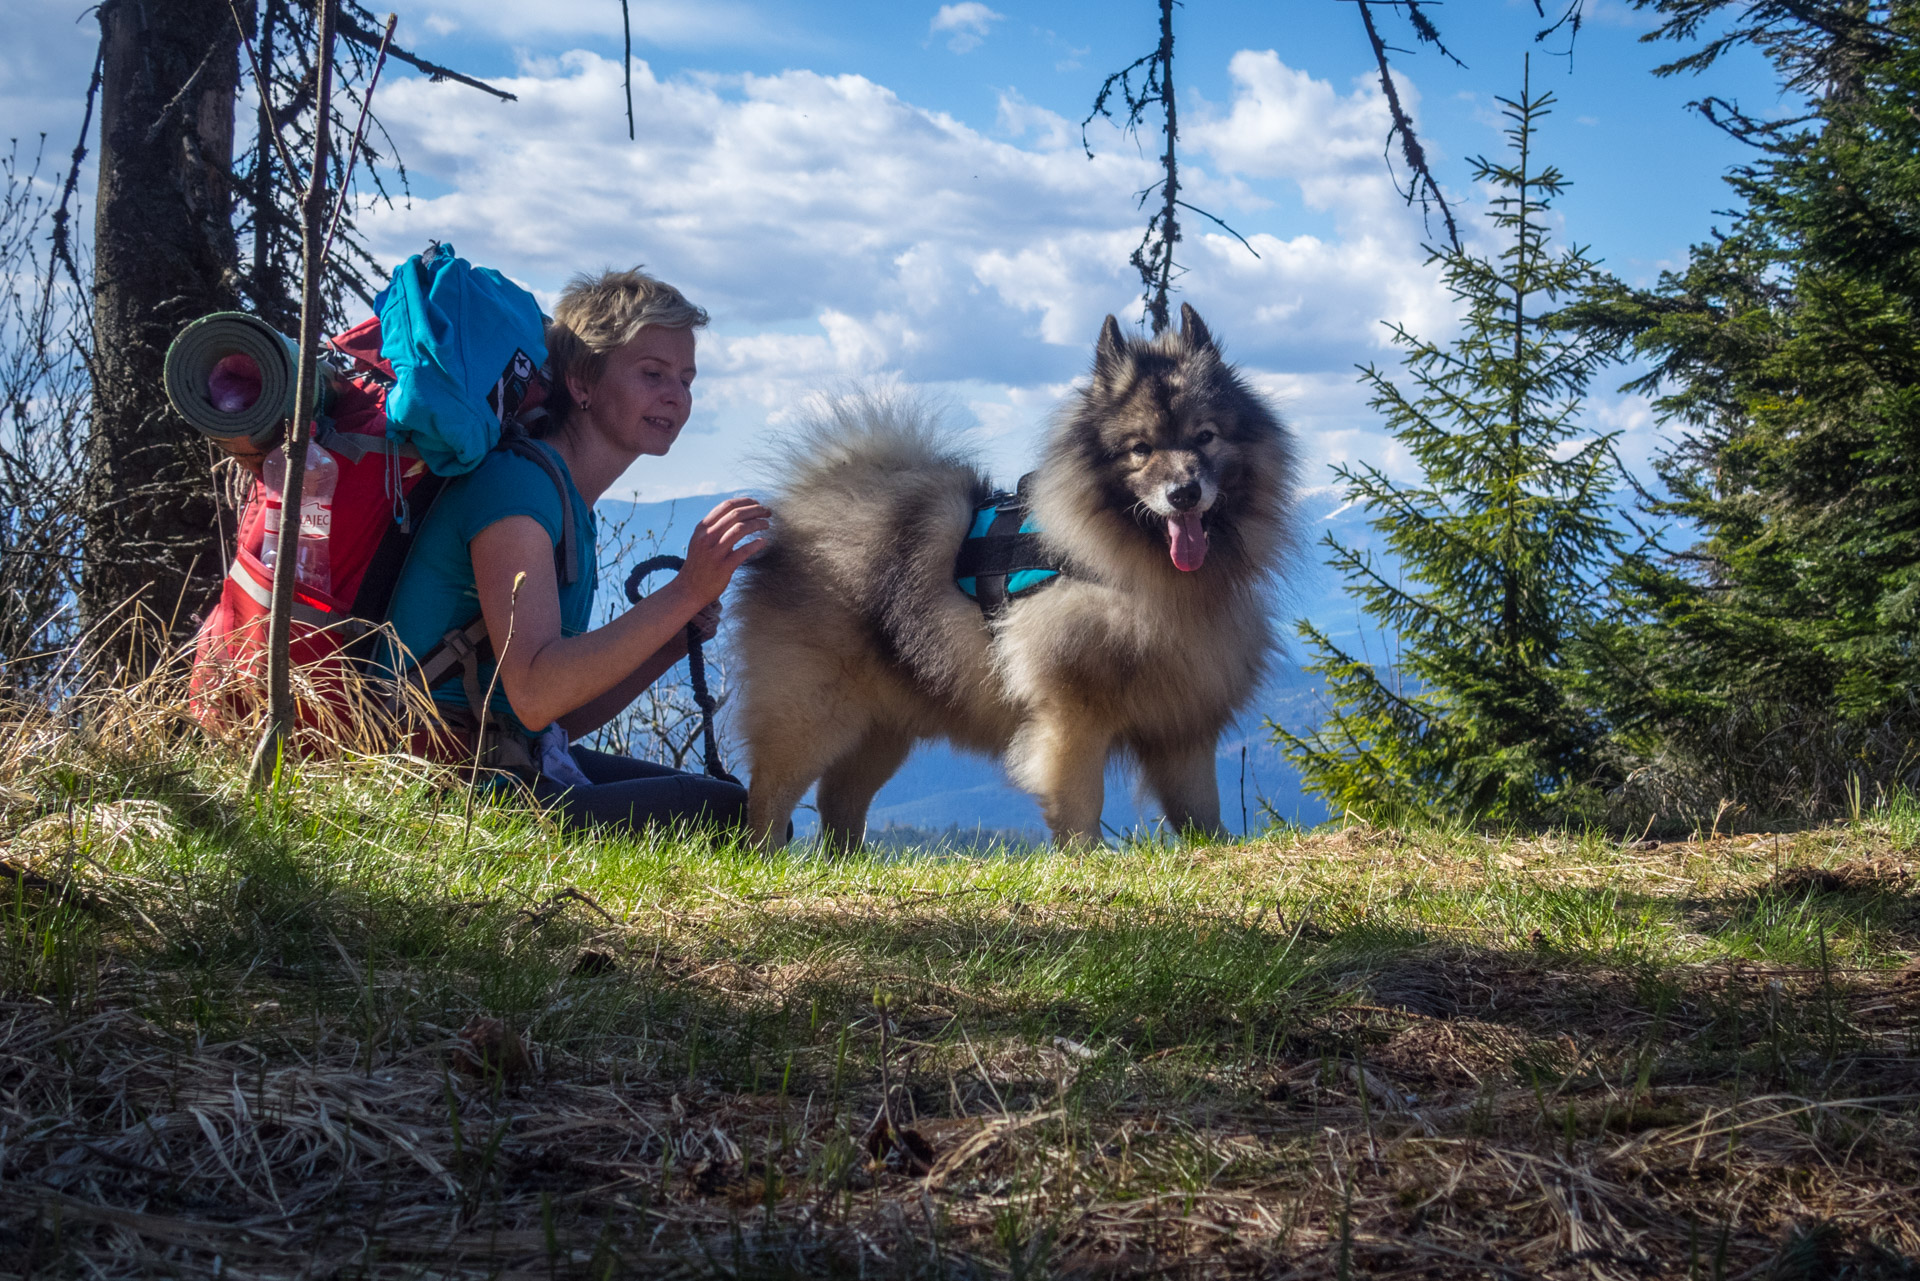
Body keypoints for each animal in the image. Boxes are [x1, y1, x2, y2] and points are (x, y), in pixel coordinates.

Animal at [725, 307, 1297, 852]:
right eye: (1141, 449)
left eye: (1206, 436)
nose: (1184, 493)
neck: (1132, 575)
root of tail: (802, 513)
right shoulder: (1071, 719)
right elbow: (1081, 804)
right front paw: (1085, 859)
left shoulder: (1183, 723)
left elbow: (1200, 809)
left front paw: (1217, 849)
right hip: (813, 713)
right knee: (770, 795)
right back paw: (766, 858)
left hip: (885, 725)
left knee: (839, 798)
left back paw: (848, 862)